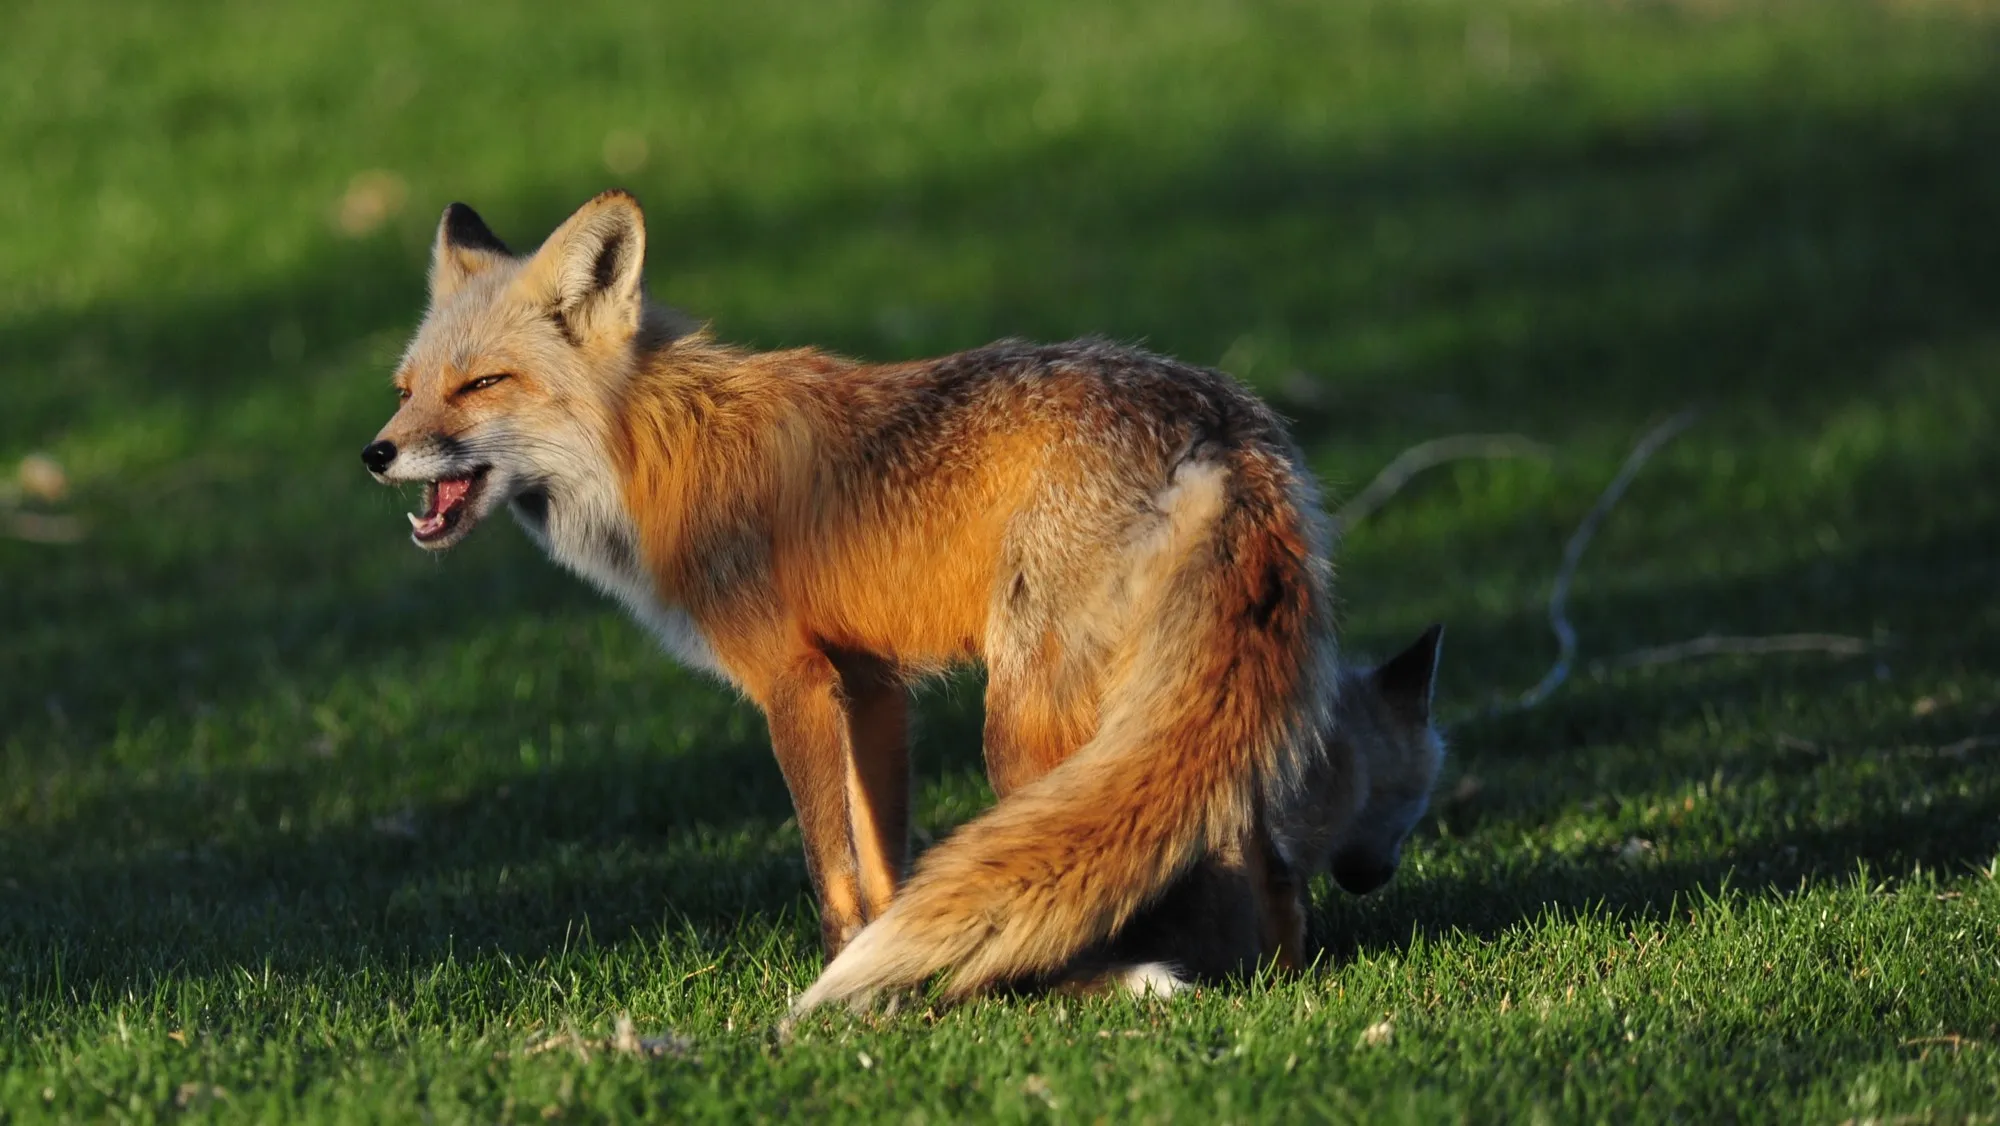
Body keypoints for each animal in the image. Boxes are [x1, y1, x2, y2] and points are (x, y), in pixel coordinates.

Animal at [362, 190, 1435, 1013]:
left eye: (481, 384)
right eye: (407, 388)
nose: (376, 453)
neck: (658, 453)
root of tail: (1223, 421)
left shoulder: (792, 680)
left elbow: (829, 866)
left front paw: (842, 980)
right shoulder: (873, 682)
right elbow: (883, 861)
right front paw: (880, 964)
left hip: (1029, 726)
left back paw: (1071, 984)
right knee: (1264, 863)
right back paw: (1253, 974)